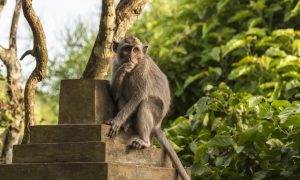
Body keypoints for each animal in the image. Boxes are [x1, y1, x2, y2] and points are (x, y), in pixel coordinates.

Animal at [104, 36, 190, 180]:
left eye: (135, 50)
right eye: (127, 48)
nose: (131, 57)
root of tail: (158, 125)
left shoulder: (142, 69)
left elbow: (139, 96)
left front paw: (116, 121)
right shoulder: (115, 64)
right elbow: (115, 94)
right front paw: (123, 69)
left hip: (158, 113)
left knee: (146, 104)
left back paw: (144, 141)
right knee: (122, 97)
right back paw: (127, 123)